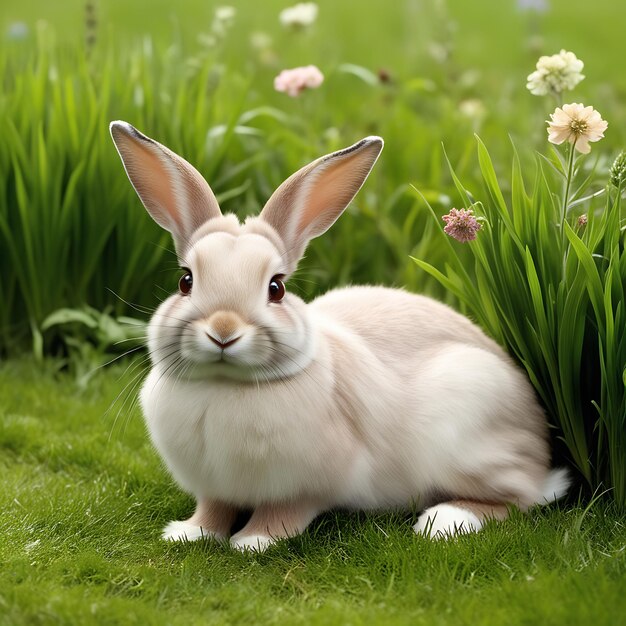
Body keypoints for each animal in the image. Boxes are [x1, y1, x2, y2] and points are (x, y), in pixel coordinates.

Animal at [109, 119, 568, 548]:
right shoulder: (215, 486)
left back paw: (445, 520)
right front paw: (190, 533)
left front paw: (255, 541)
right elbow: (214, 509)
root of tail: (539, 451)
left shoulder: (311, 484)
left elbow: (285, 512)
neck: (224, 386)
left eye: (276, 288)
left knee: (520, 499)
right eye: (186, 281)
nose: (223, 331)